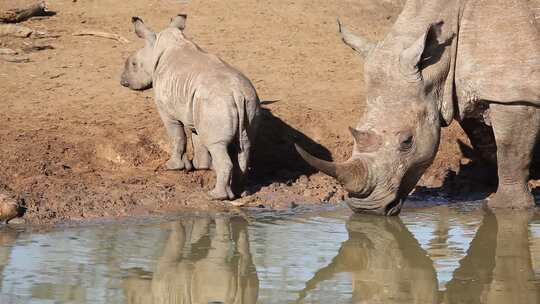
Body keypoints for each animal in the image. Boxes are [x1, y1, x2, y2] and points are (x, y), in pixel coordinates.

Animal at [121, 14, 260, 201]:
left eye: (134, 64)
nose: (123, 81)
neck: (157, 47)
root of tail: (236, 92)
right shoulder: (195, 108)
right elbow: (197, 138)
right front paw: (200, 166)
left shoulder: (167, 110)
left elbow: (177, 136)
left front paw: (173, 167)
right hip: (246, 99)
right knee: (245, 144)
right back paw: (241, 193)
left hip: (217, 102)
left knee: (217, 145)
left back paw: (216, 196)